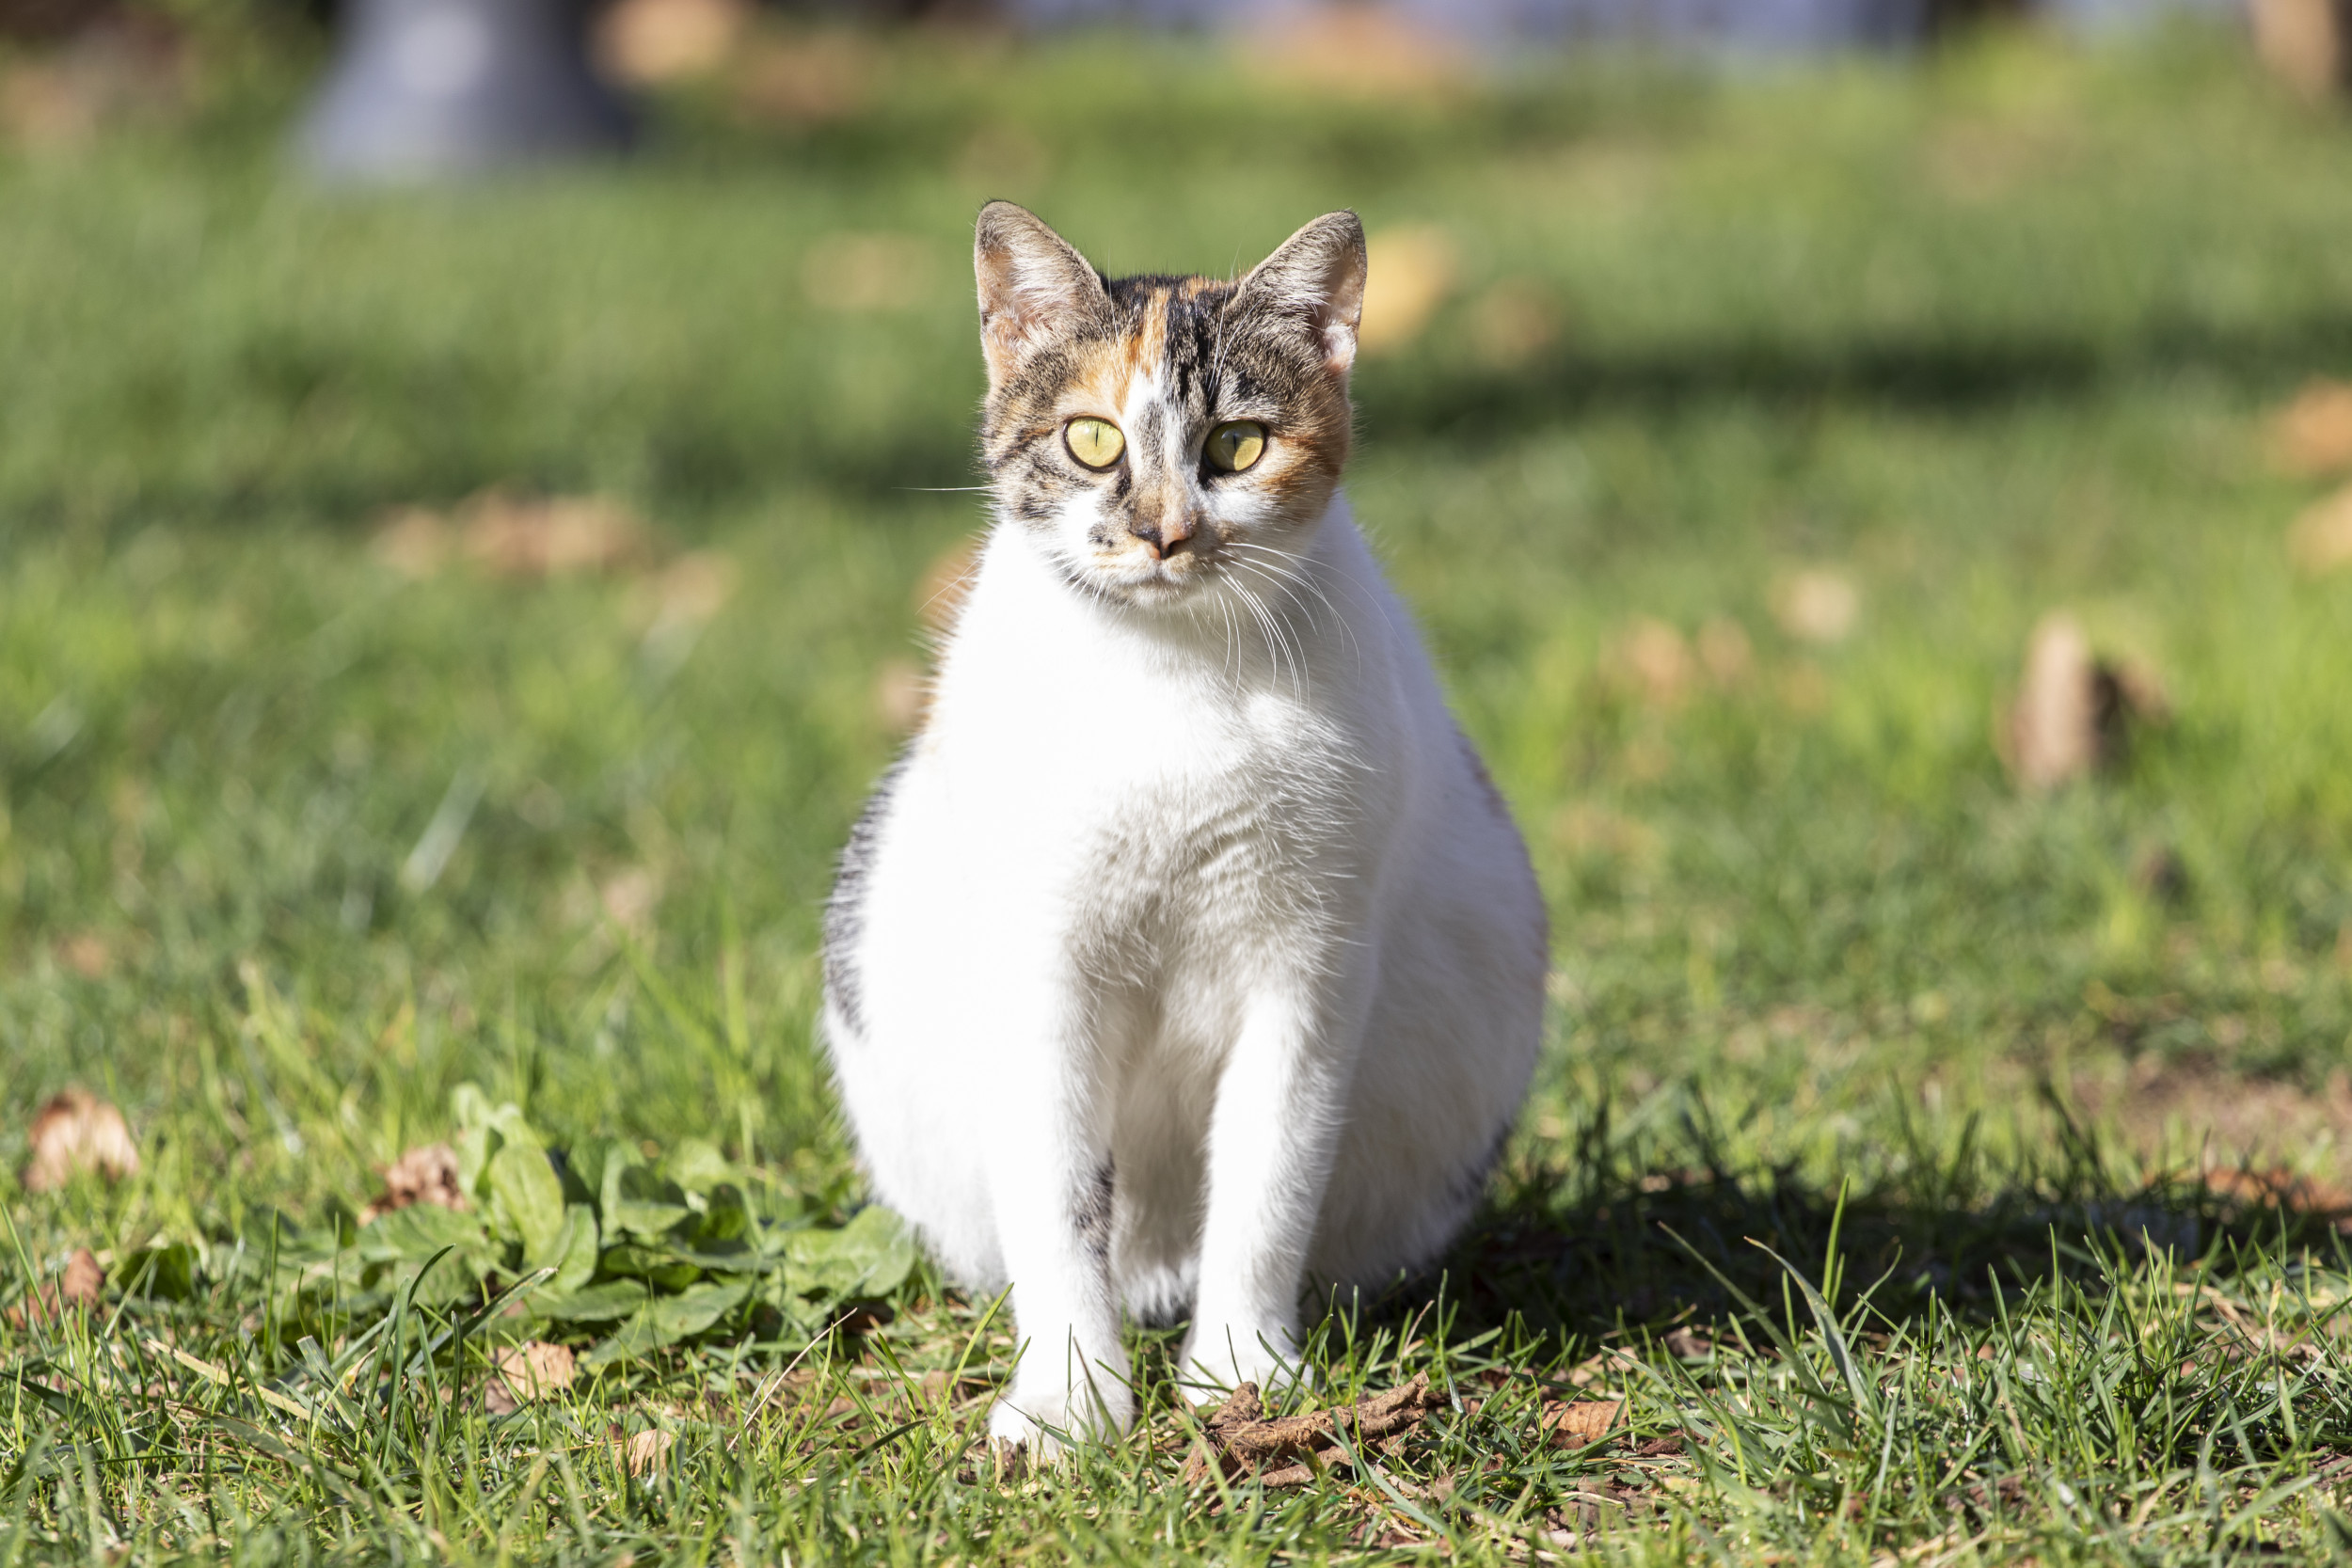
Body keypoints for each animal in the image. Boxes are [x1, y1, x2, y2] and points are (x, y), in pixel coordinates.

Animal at [818, 201, 1552, 1457]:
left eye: (1239, 447)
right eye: (1091, 440)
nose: (1161, 531)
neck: (1170, 682)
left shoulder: (1308, 965)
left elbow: (1268, 1175)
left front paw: (1243, 1377)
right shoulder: (1042, 965)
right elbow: (1059, 1192)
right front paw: (1069, 1402)